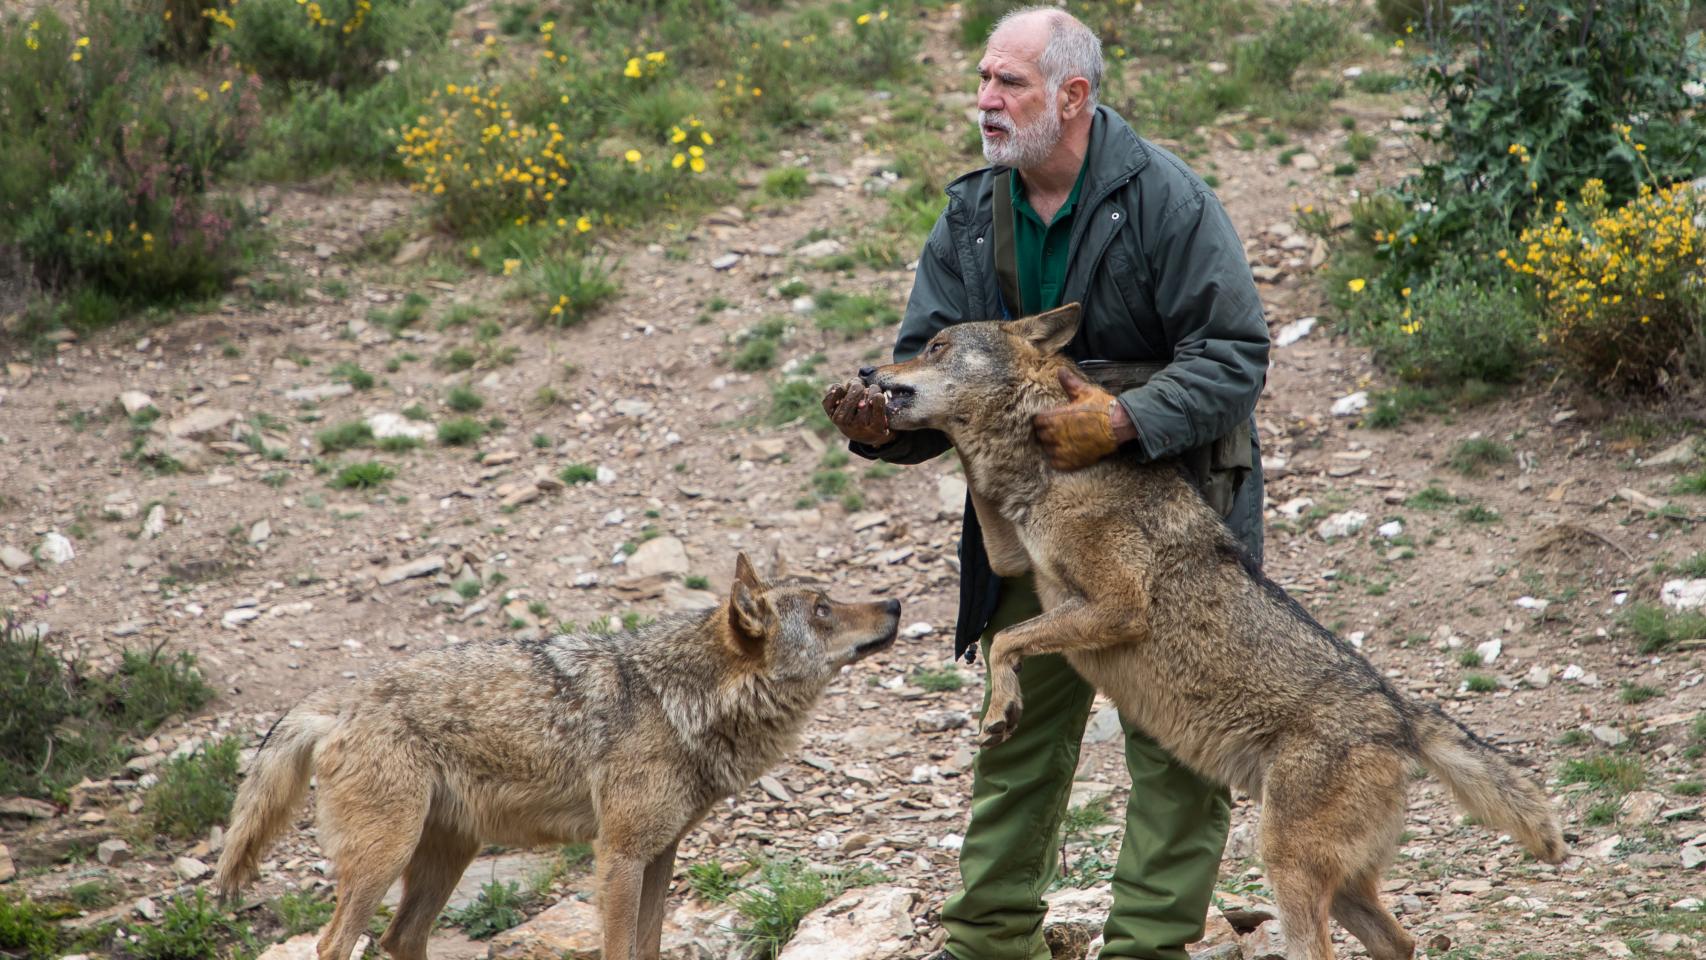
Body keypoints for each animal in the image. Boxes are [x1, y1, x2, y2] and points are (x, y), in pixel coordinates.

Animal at [214, 554, 900, 960]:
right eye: (823, 608)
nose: (894, 604)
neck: (677, 701)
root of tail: (339, 700)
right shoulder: (619, 856)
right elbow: (620, 951)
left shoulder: (660, 854)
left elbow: (648, 948)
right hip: (386, 857)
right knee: (336, 944)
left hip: (443, 858)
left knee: (399, 937)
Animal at [862, 304, 1565, 960]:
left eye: (936, 346)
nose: (868, 372)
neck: (1048, 469)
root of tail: (1402, 713)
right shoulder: (1014, 558)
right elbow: (1002, 598)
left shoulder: (1118, 605)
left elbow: (1008, 642)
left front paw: (1002, 710)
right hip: (1336, 881)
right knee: (1399, 941)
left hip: (1285, 861)